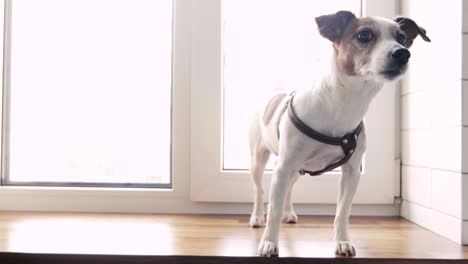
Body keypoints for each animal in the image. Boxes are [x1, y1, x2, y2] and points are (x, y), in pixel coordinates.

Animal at [250, 10, 430, 258]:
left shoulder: (351, 173)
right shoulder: (283, 167)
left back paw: (288, 212)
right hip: (260, 161)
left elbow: (343, 212)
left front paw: (342, 241)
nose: (402, 53)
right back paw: (257, 216)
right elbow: (273, 211)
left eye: (402, 38)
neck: (343, 103)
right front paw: (269, 243)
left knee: (289, 190)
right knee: (259, 190)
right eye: (364, 35)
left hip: (295, 171)